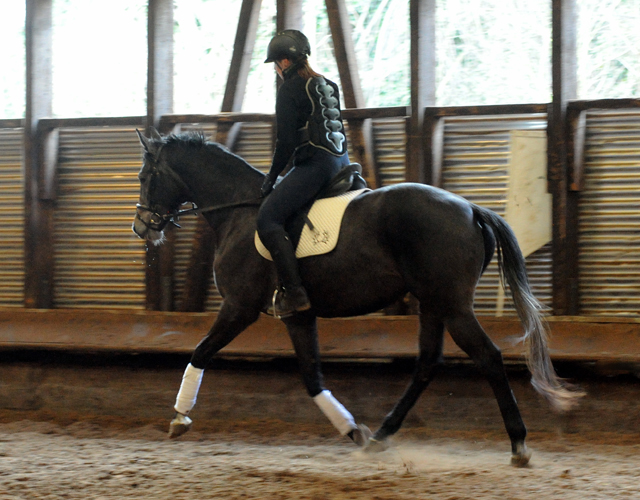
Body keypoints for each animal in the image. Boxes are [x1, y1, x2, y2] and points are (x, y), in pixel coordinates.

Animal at [132, 127, 584, 466]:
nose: (142, 227)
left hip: (452, 304)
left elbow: (200, 352)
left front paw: (180, 417)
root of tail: (471, 209)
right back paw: (382, 435)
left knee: (487, 357)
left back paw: (519, 444)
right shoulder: (298, 315)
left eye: (144, 176)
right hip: (432, 304)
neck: (238, 211)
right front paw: (355, 431)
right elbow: (312, 379)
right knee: (427, 363)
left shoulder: (238, 307)